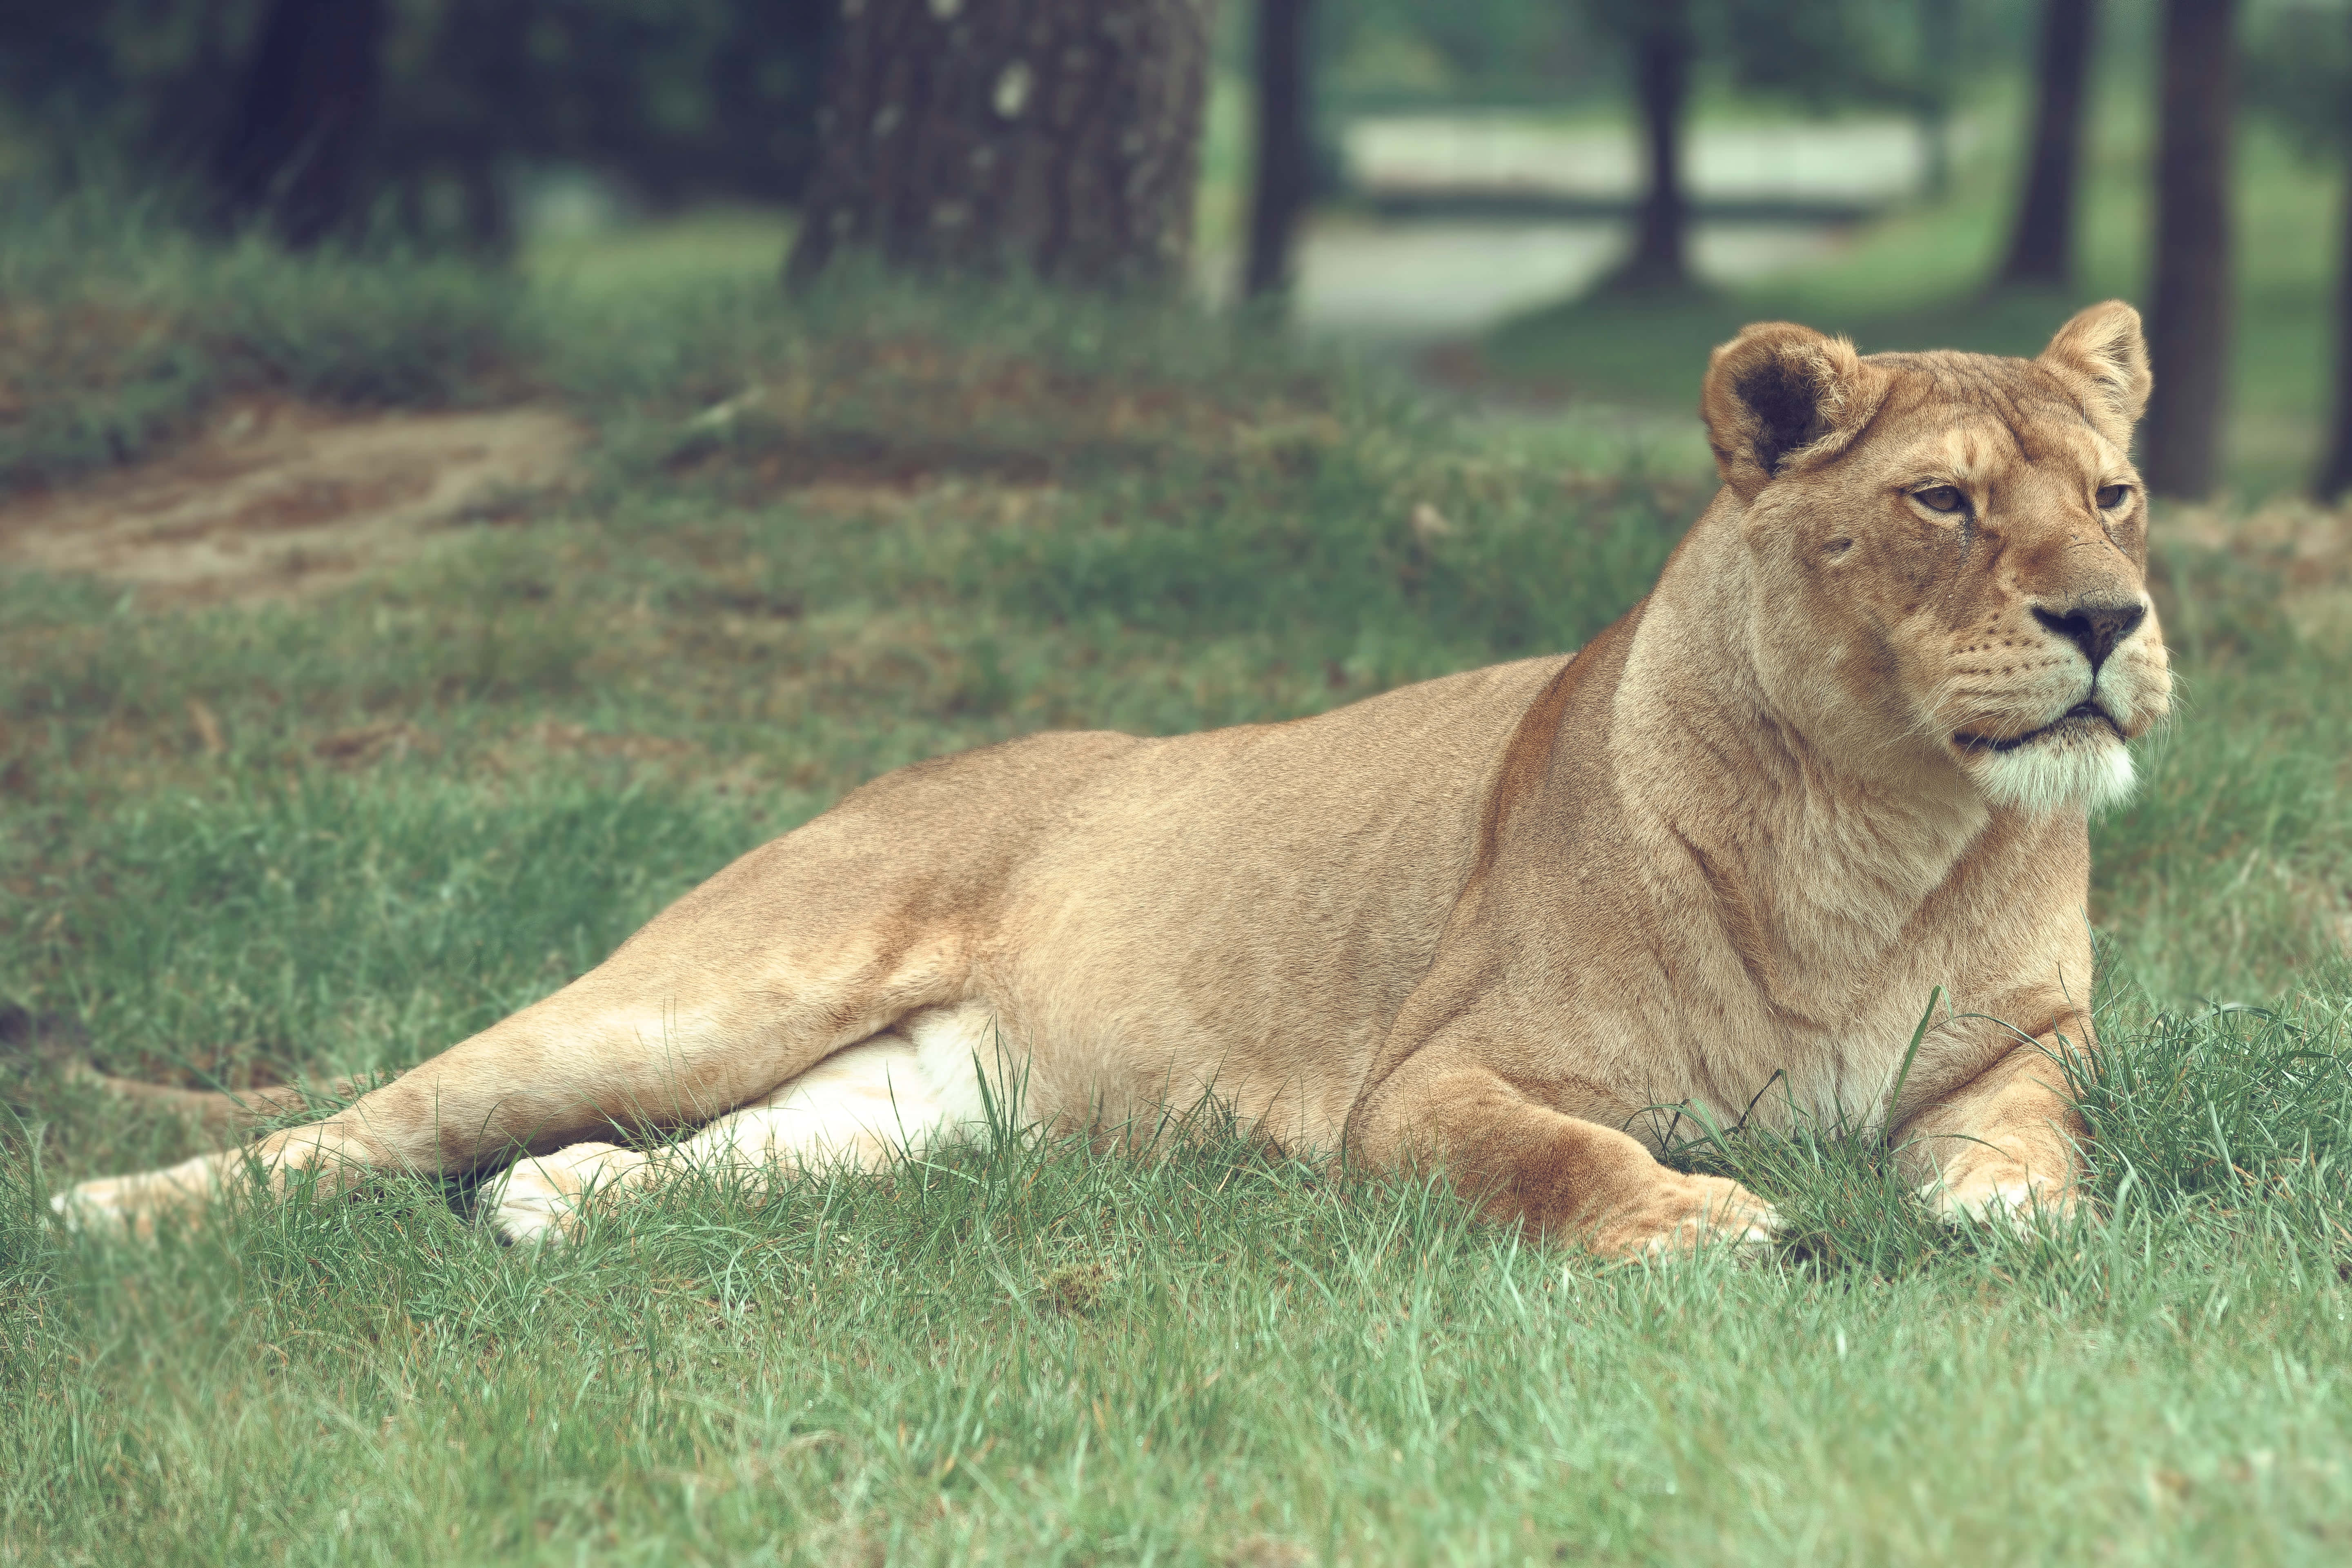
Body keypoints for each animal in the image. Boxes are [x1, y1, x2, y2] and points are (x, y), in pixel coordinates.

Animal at [55, 302, 2168, 1256]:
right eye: (1947, 502)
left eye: (2115, 491)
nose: (2108, 618)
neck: (1883, 824)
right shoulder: (1427, 1087)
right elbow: (1557, 1155)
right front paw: (1709, 1226)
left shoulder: (2011, 1057)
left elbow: (2024, 1156)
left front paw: (2020, 1241)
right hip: (699, 992)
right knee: (376, 1122)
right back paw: (104, 1211)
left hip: (905, 1113)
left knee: (658, 1161)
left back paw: (552, 1210)